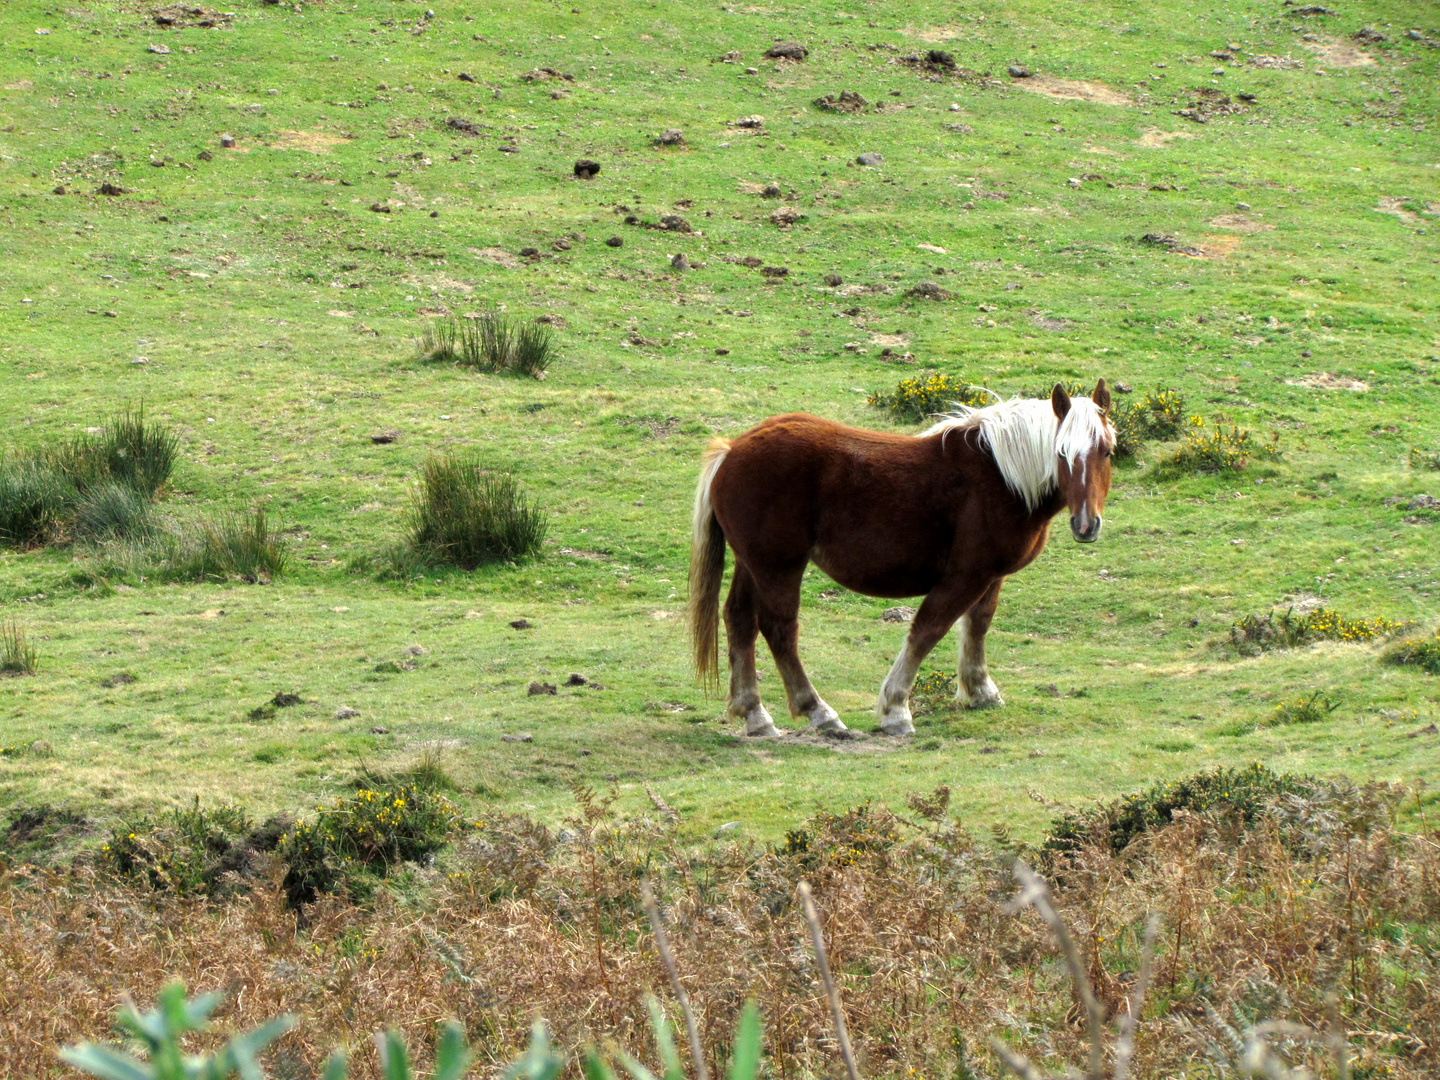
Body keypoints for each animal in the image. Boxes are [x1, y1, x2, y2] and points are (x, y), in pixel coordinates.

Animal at [685, 377, 1111, 737]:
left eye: (1107, 451)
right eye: (1061, 453)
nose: (1086, 525)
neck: (1001, 477)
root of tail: (732, 451)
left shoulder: (992, 575)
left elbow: (978, 625)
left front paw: (980, 690)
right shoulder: (965, 576)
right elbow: (927, 630)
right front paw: (896, 709)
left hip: (752, 565)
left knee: (740, 621)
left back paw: (755, 715)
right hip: (779, 567)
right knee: (779, 630)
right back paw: (820, 712)